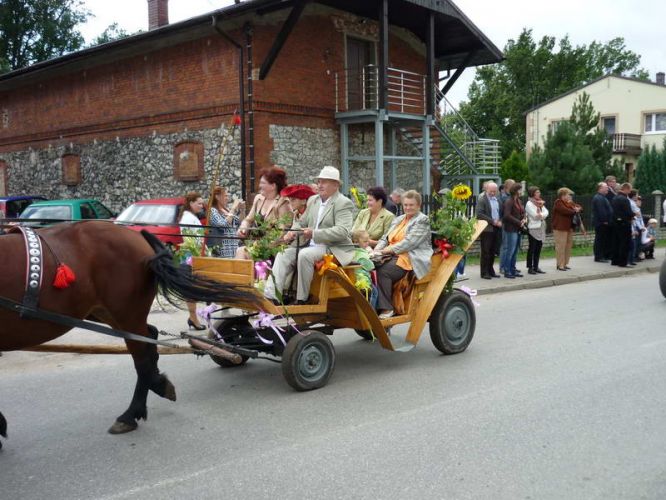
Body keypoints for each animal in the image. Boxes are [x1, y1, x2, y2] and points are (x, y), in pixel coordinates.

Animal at [0, 221, 256, 448]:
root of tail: (136, 235)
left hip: (125, 313)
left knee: (143, 357)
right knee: (150, 338)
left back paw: (132, 412)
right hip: (105, 312)